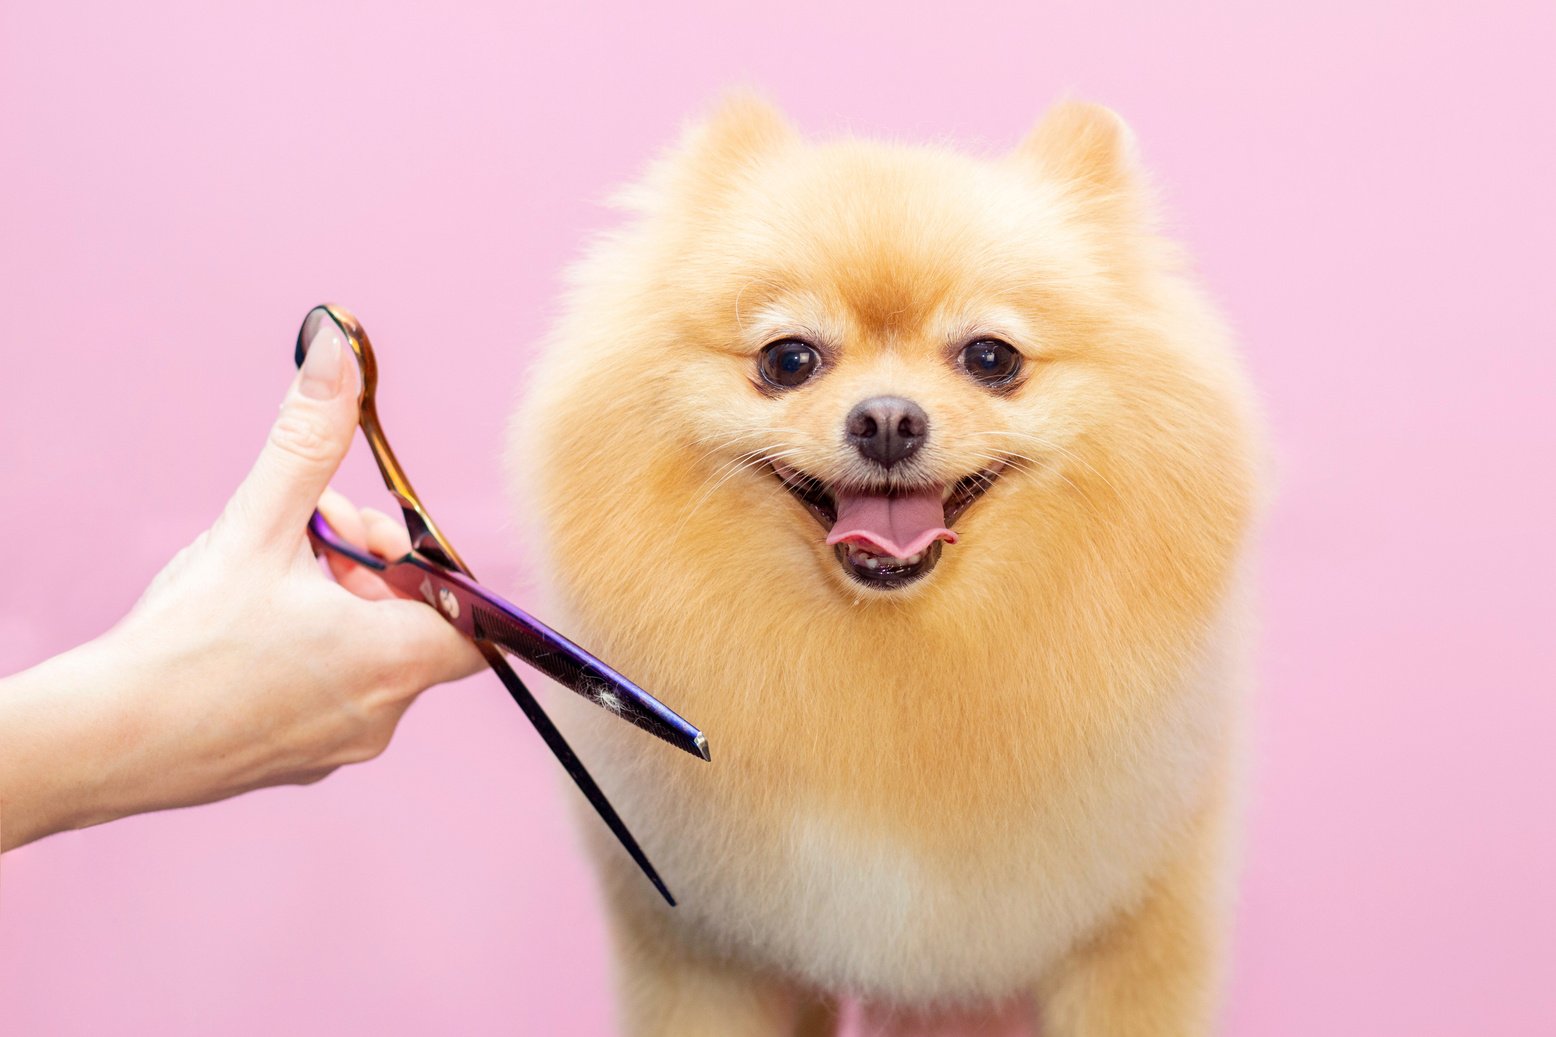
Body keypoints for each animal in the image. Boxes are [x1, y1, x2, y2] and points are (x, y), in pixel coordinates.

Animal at [510, 93, 1263, 1027]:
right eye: (788, 358)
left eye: (991, 356)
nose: (888, 420)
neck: (890, 666)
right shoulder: (703, 945)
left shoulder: (1138, 924)